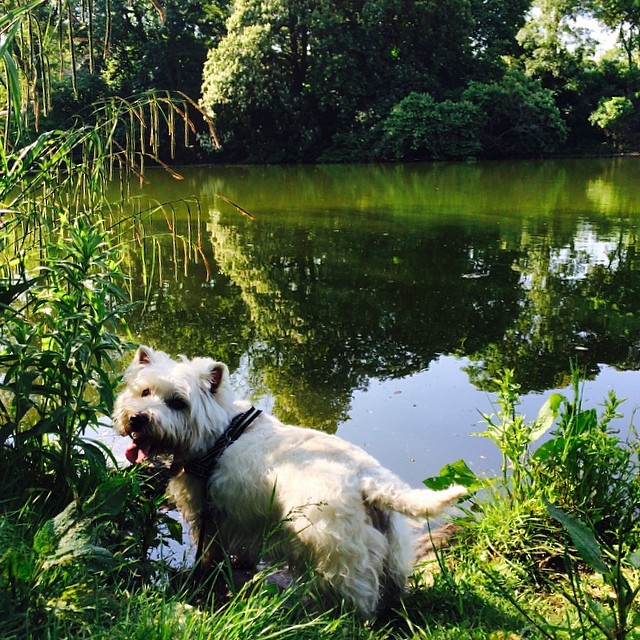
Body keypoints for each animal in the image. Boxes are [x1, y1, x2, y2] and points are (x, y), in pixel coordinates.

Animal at [114, 348, 464, 616]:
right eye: (144, 392)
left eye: (177, 402)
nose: (137, 419)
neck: (220, 434)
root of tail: (367, 476)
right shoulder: (244, 519)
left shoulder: (210, 513)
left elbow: (210, 550)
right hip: (391, 544)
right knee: (392, 584)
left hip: (336, 549)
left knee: (358, 594)